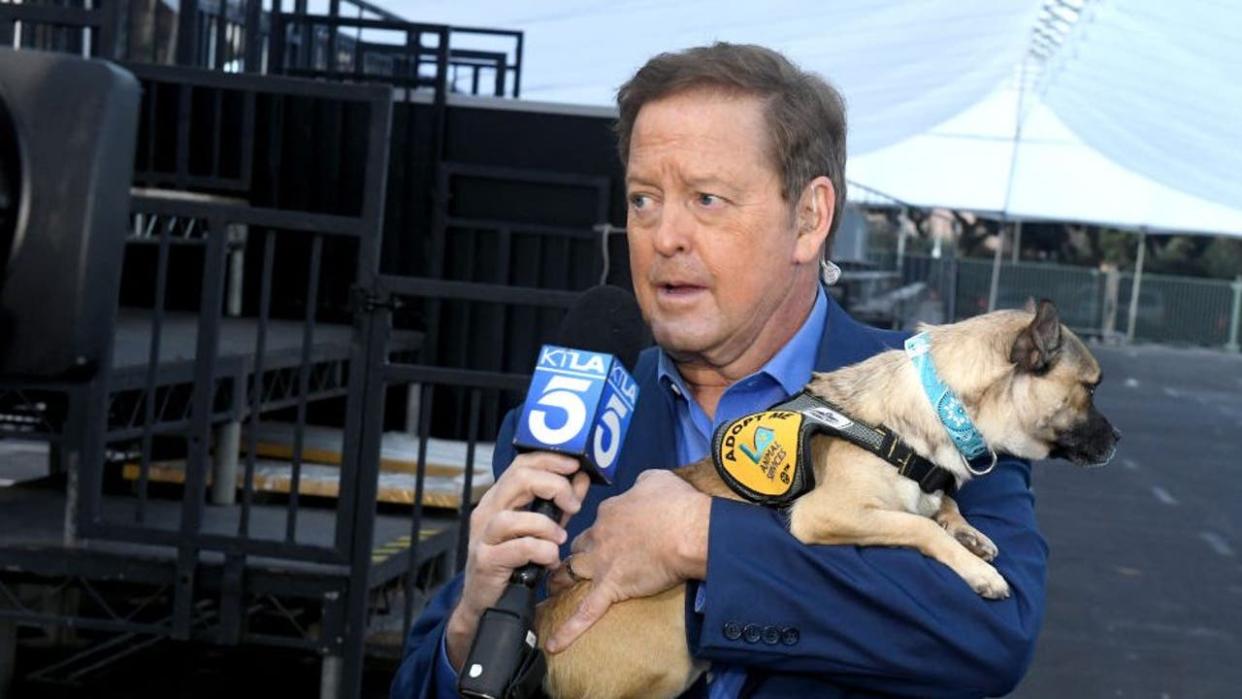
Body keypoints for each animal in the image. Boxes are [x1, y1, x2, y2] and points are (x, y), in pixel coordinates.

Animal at [536, 300, 1127, 699]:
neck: (940, 405)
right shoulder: (828, 514)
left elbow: (941, 507)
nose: (1119, 439)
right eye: (1091, 389)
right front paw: (975, 569)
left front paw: (969, 533)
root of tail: (540, 634)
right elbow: (919, 526)